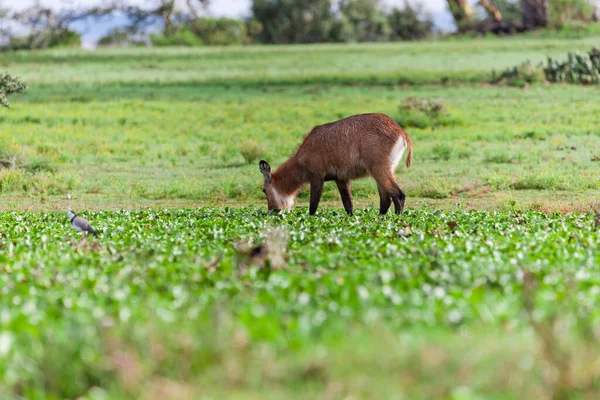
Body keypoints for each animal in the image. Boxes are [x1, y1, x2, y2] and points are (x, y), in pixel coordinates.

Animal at [258, 112, 412, 216]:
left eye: (264, 190)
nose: (270, 212)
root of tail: (400, 130)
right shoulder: (341, 179)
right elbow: (348, 205)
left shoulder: (317, 177)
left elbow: (313, 206)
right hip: (382, 171)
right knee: (386, 199)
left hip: (378, 169)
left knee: (398, 195)